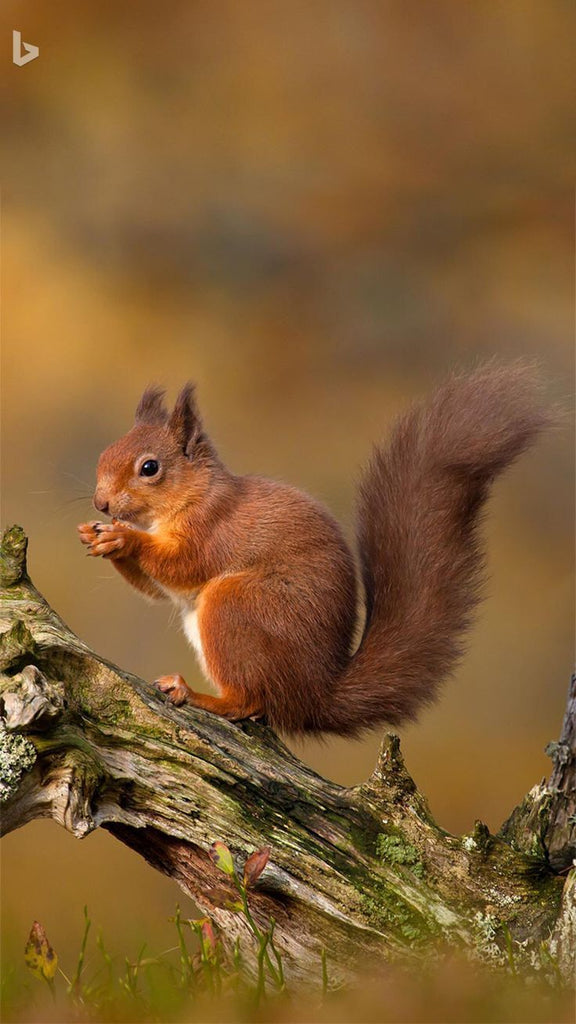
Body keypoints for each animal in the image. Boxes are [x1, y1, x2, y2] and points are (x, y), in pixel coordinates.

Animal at [78, 362, 551, 736]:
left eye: (150, 467)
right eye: (103, 454)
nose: (101, 503)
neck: (192, 496)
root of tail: (314, 695)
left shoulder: (213, 530)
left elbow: (182, 566)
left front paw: (123, 537)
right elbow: (157, 590)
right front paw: (98, 535)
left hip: (236, 606)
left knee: (249, 701)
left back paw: (197, 695)